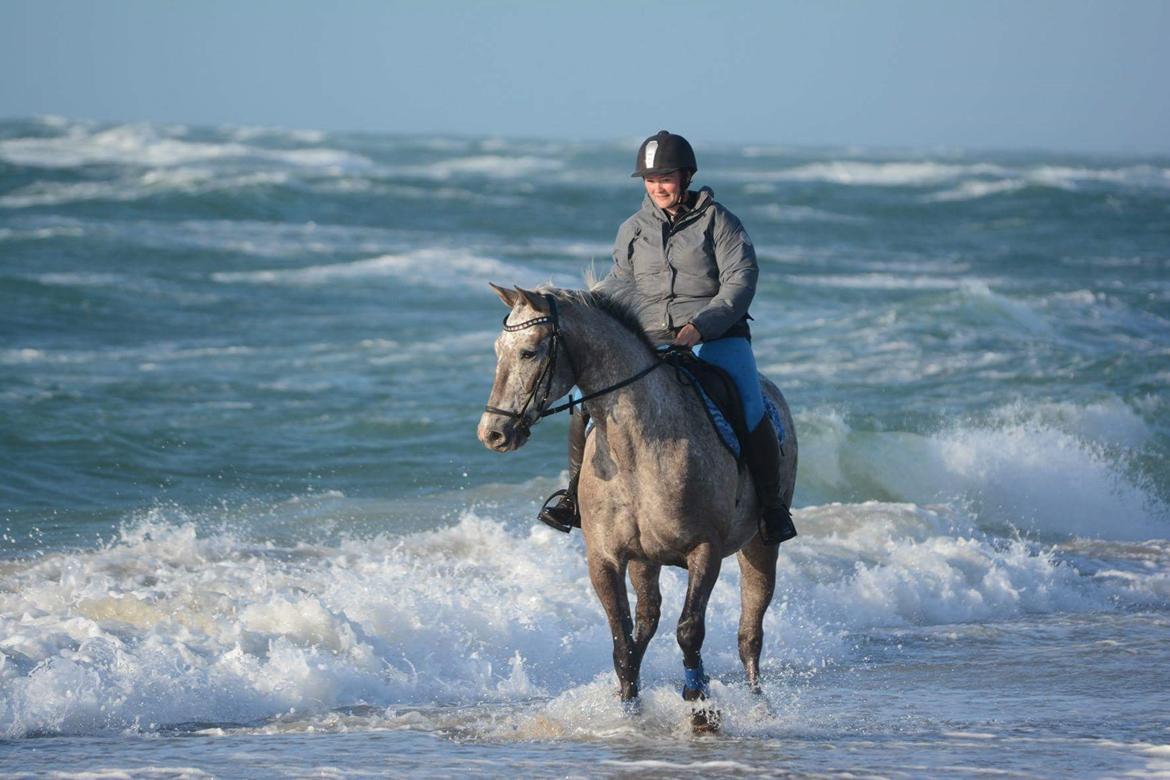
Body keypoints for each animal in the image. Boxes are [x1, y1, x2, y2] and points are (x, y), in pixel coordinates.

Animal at [475, 285, 795, 725]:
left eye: (528, 352)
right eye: (497, 350)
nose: (492, 433)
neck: (635, 452)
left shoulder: (705, 550)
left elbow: (689, 630)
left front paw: (699, 704)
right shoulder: (606, 558)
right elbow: (622, 637)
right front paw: (628, 709)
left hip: (759, 547)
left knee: (750, 631)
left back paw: (759, 706)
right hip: (646, 560)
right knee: (647, 621)